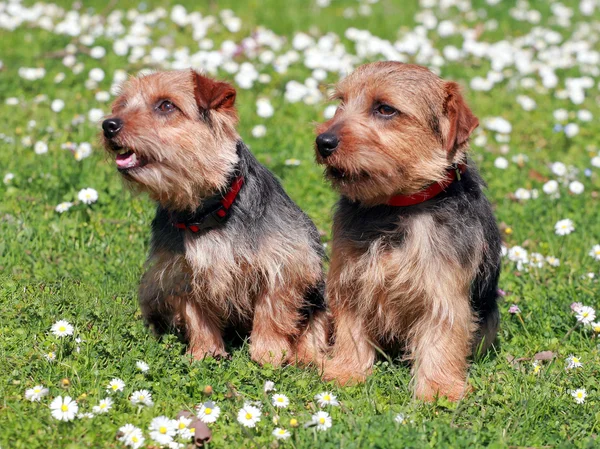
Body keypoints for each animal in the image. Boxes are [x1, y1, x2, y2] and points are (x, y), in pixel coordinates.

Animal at [102, 69, 328, 364]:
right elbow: (197, 316)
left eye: (166, 105)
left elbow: (271, 310)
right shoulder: (181, 274)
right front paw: (205, 353)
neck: (205, 214)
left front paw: (268, 354)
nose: (108, 124)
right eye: (122, 104)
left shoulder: (286, 262)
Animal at [314, 61, 502, 400]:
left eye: (385, 109)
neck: (396, 206)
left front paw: (439, 390)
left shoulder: (443, 290)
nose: (323, 142)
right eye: (340, 102)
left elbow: (442, 338)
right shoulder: (350, 280)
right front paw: (346, 371)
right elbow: (351, 330)